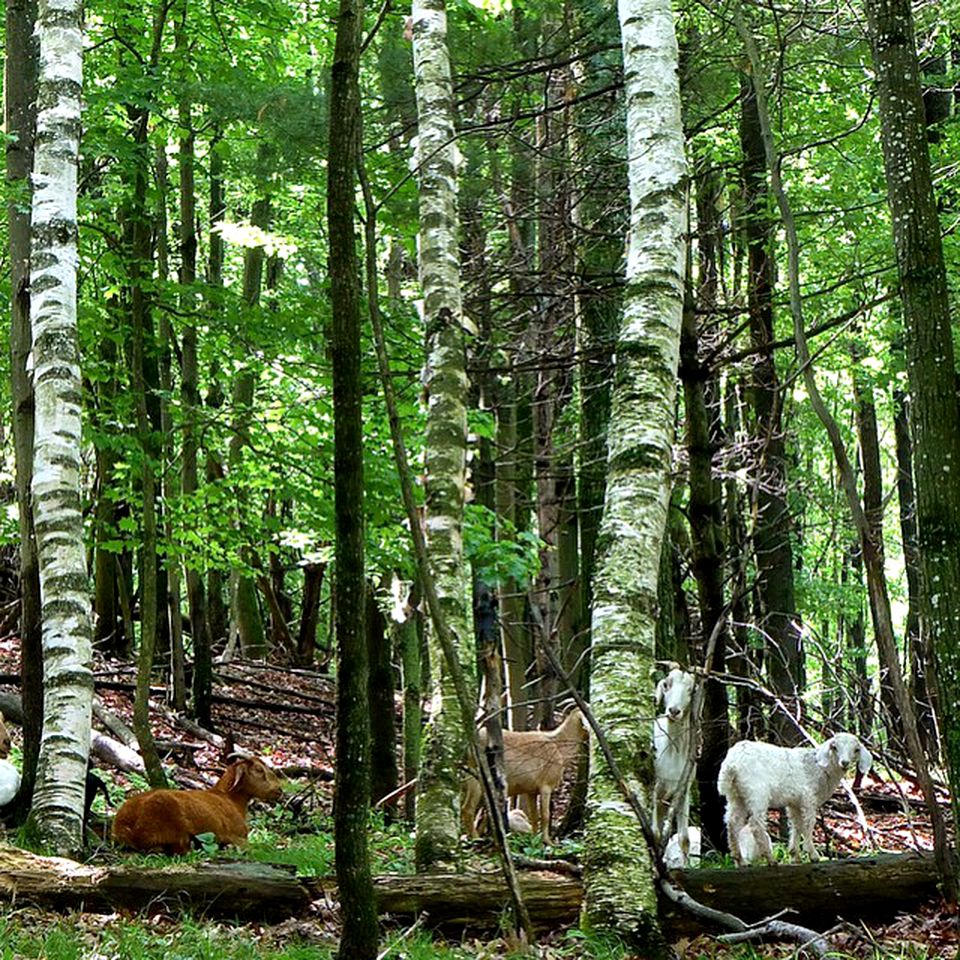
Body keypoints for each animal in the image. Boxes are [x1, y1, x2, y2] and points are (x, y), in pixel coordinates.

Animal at [112, 756, 284, 856]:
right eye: (259, 770)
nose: (279, 790)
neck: (229, 799)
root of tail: (126, 827)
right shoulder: (234, 835)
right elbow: (261, 847)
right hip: (174, 829)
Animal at [720, 732, 872, 868]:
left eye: (856, 749)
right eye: (834, 747)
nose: (844, 762)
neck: (820, 769)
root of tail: (731, 765)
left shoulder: (794, 803)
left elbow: (796, 824)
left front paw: (795, 856)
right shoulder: (808, 798)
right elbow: (809, 824)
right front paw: (812, 855)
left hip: (736, 795)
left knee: (733, 822)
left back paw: (740, 861)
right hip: (756, 792)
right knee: (755, 824)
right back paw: (770, 859)